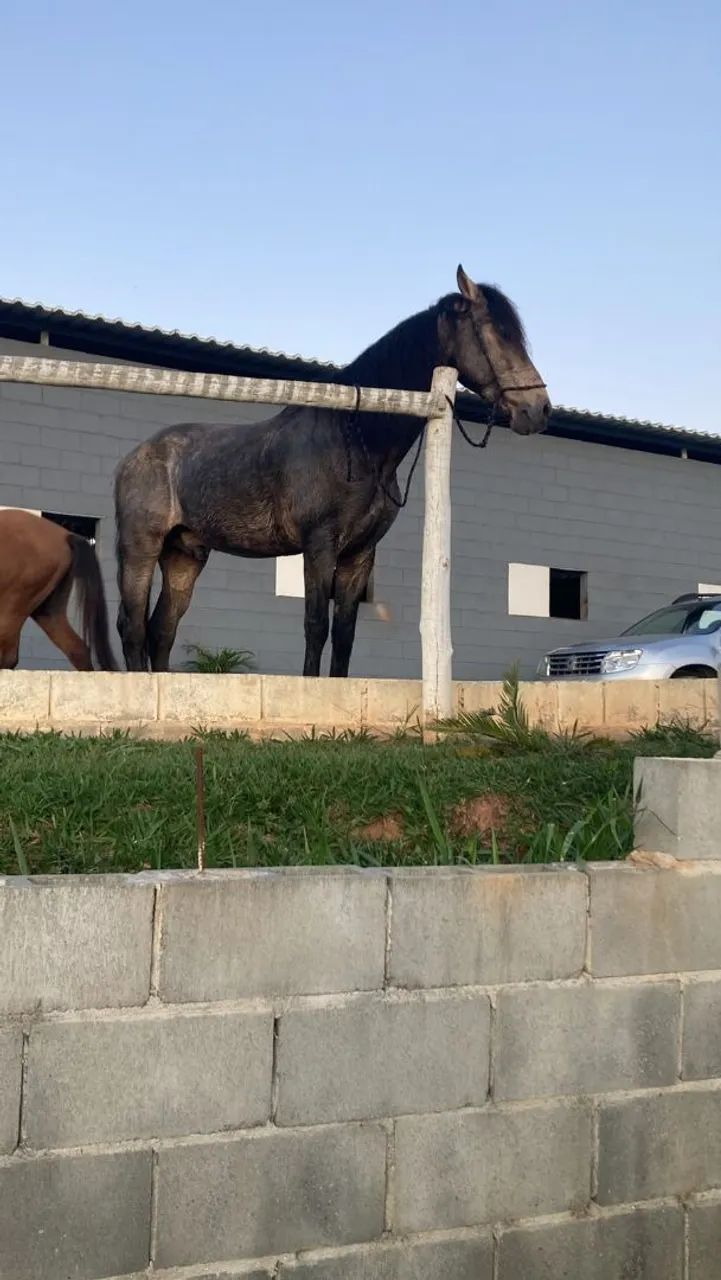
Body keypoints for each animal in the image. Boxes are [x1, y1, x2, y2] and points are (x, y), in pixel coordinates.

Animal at [114, 265, 550, 676]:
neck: (354, 442)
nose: (538, 410)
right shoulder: (320, 545)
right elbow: (315, 627)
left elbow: (344, 634)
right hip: (141, 549)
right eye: (498, 333)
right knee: (132, 626)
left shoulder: (359, 554)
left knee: (162, 630)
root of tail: (134, 457)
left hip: (184, 554)